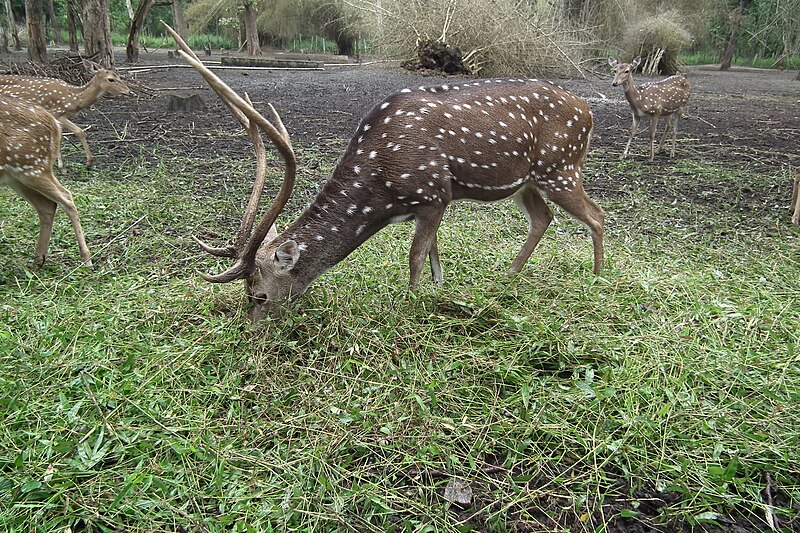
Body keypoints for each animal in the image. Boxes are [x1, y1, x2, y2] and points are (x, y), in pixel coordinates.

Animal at [0, 62, 128, 170]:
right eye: (111, 79)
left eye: (119, 76)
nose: (128, 91)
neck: (74, 99)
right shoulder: (57, 113)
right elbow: (76, 132)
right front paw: (83, 164)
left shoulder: (62, 117)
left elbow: (70, 134)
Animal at [0, 94, 92, 266]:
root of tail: (55, 124)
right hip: (19, 176)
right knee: (48, 206)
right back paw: (38, 260)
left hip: (32, 166)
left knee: (66, 197)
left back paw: (86, 258)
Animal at [162, 22, 604, 322]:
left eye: (259, 296)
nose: (252, 329)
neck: (382, 188)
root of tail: (587, 109)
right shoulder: (435, 200)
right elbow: (435, 253)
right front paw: (439, 292)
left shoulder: (433, 193)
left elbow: (415, 256)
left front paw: (411, 303)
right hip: (527, 181)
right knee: (543, 218)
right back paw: (507, 278)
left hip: (560, 166)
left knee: (596, 215)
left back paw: (598, 281)